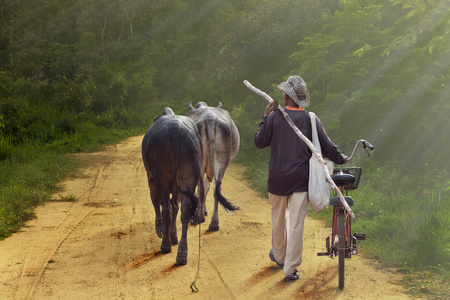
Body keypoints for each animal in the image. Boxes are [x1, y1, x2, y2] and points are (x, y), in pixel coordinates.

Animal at [142, 107, 204, 264]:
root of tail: (176, 126)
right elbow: (176, 206)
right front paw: (173, 234)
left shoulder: (151, 179)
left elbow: (157, 203)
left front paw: (161, 228)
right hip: (189, 177)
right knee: (184, 211)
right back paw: (182, 253)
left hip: (161, 179)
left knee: (166, 209)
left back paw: (166, 245)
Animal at [186, 102, 241, 231]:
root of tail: (210, 117)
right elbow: (208, 187)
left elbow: (202, 188)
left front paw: (202, 211)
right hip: (221, 162)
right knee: (217, 189)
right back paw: (214, 223)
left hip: (200, 163)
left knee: (201, 189)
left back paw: (200, 217)